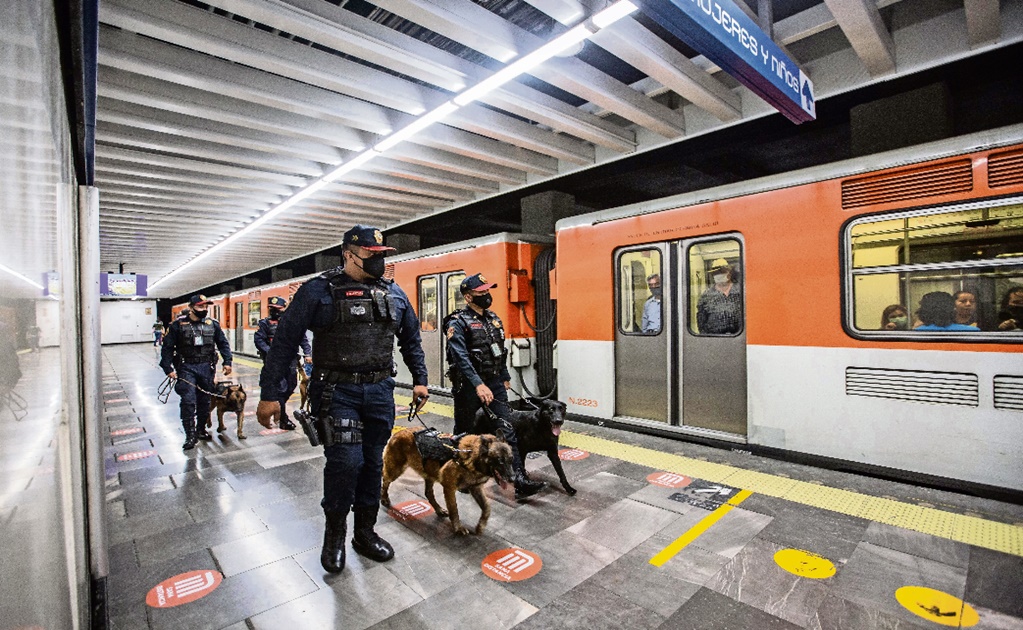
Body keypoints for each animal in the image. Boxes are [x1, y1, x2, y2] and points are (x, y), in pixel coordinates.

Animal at [382, 427, 515, 535]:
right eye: (500, 461)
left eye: (511, 459)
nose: (513, 479)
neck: (472, 455)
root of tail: (399, 432)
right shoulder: (449, 488)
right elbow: (454, 509)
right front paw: (458, 528)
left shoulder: (476, 488)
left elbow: (487, 508)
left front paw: (480, 526)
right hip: (395, 470)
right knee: (384, 480)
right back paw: (384, 499)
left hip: (429, 475)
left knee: (428, 493)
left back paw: (439, 509)